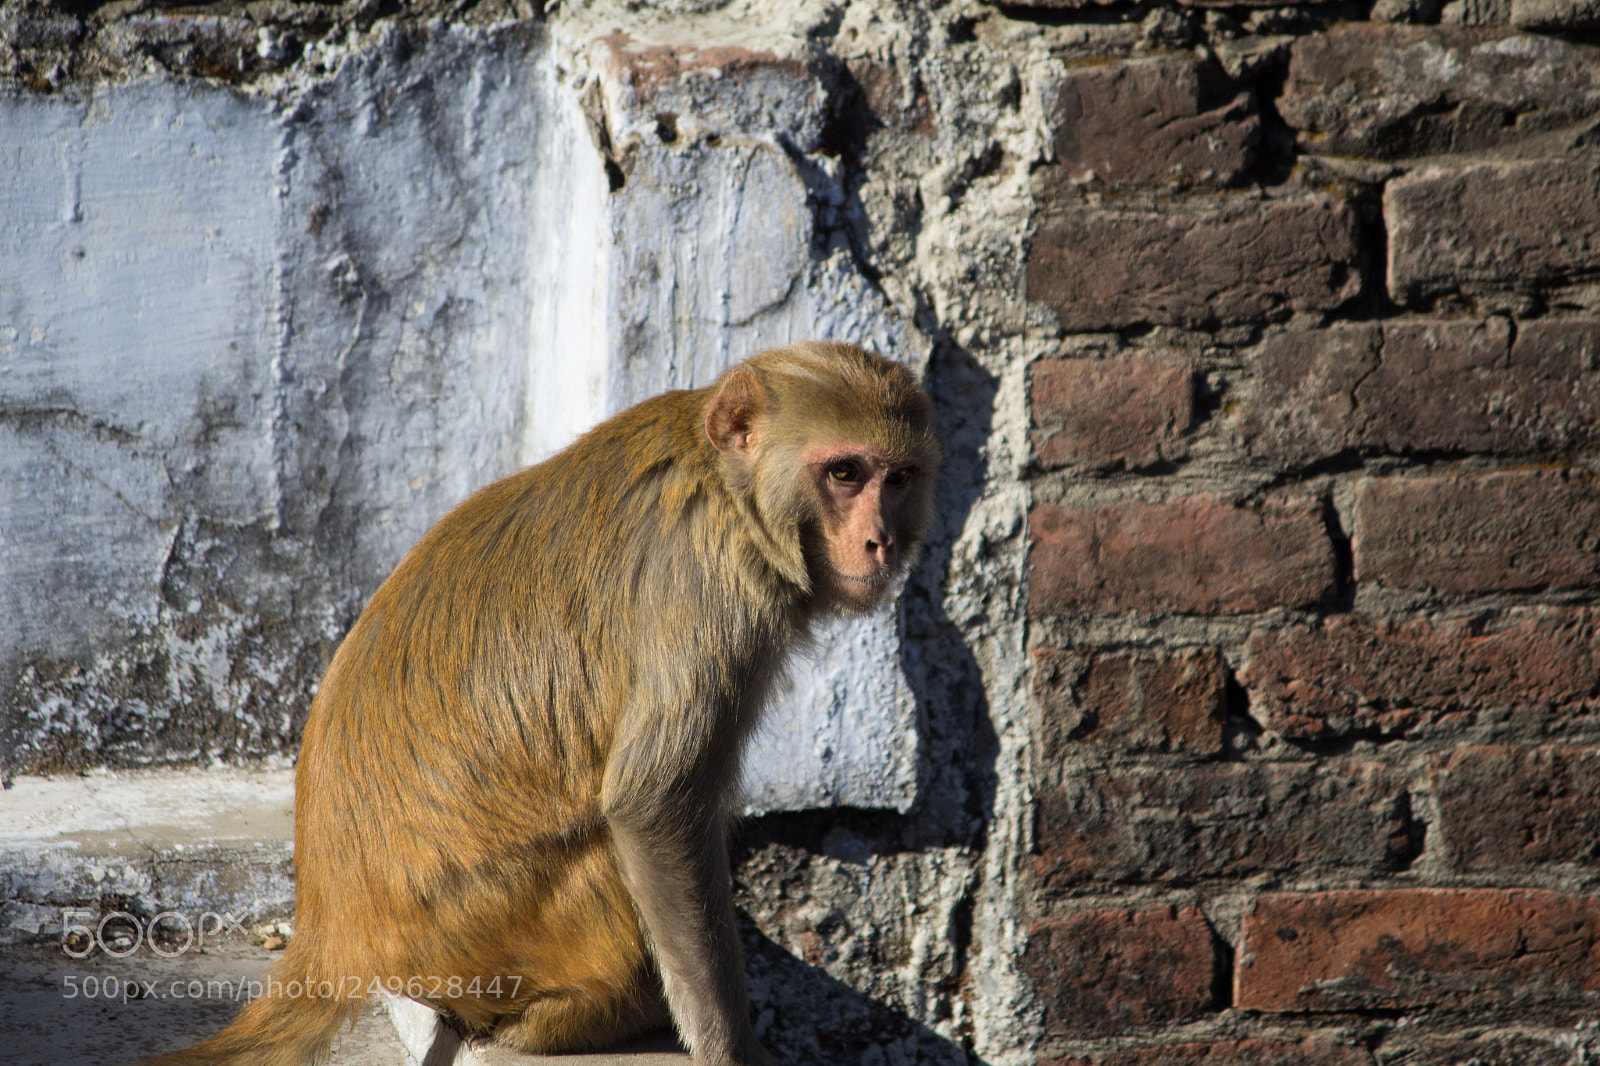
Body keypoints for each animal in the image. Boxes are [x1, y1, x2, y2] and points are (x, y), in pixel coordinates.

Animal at [142, 342, 940, 1066]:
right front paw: (730, 1047)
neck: (727, 485)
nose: (882, 541)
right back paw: (577, 1017)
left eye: (898, 478)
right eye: (844, 472)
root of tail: (336, 928)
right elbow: (655, 804)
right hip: (491, 932)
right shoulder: (709, 587)